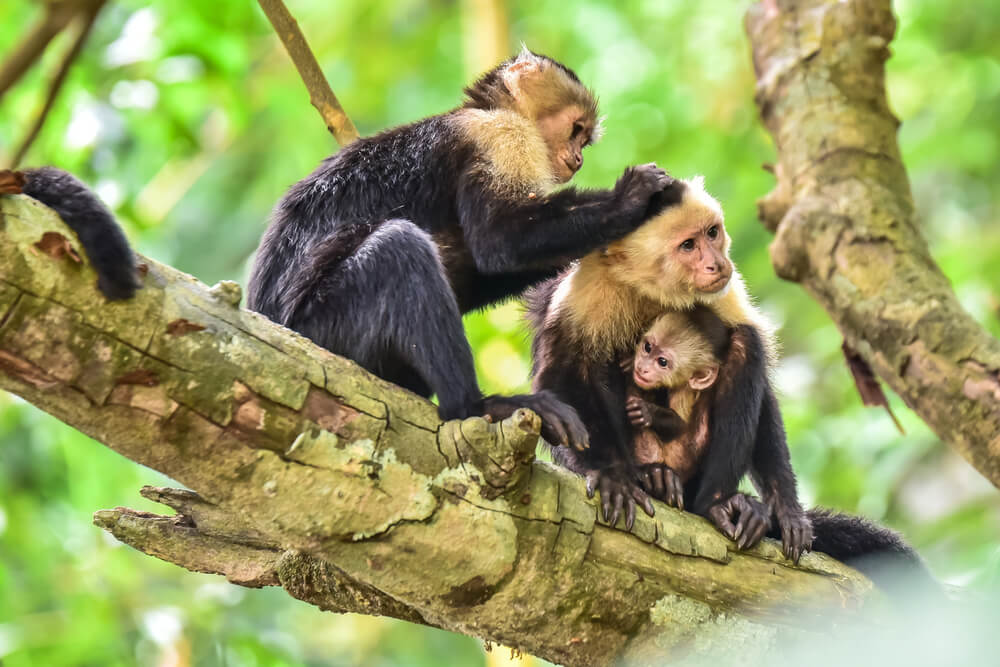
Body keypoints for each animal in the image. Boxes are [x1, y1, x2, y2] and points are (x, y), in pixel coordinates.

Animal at [247, 49, 684, 452]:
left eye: (583, 139)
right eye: (576, 130)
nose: (576, 159)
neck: (486, 110)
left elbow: (488, 265)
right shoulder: (502, 136)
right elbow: (499, 240)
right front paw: (632, 201)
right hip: (319, 330)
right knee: (399, 249)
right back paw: (478, 407)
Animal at [620, 310, 768, 552]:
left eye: (663, 362)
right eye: (648, 347)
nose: (642, 367)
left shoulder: (686, 389)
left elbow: (679, 425)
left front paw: (647, 412)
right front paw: (626, 362)